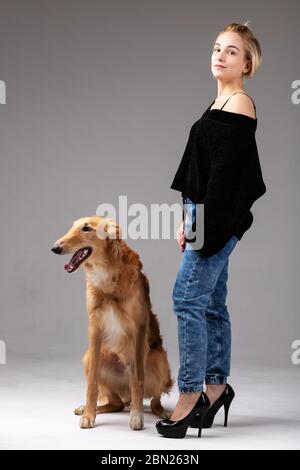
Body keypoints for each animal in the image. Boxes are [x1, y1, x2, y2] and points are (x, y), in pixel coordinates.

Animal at [51, 217, 173, 430]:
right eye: (72, 226)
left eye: (86, 228)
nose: (55, 248)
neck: (106, 273)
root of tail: (124, 394)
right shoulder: (94, 328)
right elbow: (92, 384)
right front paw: (89, 415)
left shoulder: (139, 327)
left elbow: (138, 380)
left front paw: (137, 416)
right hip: (90, 357)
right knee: (116, 403)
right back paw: (87, 408)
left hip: (159, 359)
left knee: (153, 398)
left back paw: (159, 411)